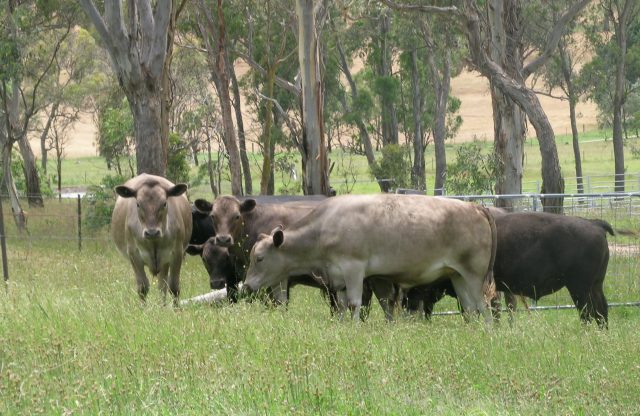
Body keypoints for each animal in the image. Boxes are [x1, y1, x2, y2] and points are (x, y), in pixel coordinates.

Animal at [110, 174, 192, 304]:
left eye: (164, 203)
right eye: (138, 204)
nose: (152, 232)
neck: (154, 241)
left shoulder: (177, 253)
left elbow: (174, 287)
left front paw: (177, 308)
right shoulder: (134, 254)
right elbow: (142, 287)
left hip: (164, 261)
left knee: (162, 286)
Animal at [242, 193, 498, 324]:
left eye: (259, 258)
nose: (246, 285)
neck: (323, 227)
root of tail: (476, 207)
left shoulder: (353, 269)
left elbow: (355, 303)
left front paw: (354, 327)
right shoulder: (339, 278)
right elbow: (342, 306)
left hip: (475, 276)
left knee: (483, 306)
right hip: (458, 275)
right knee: (470, 308)